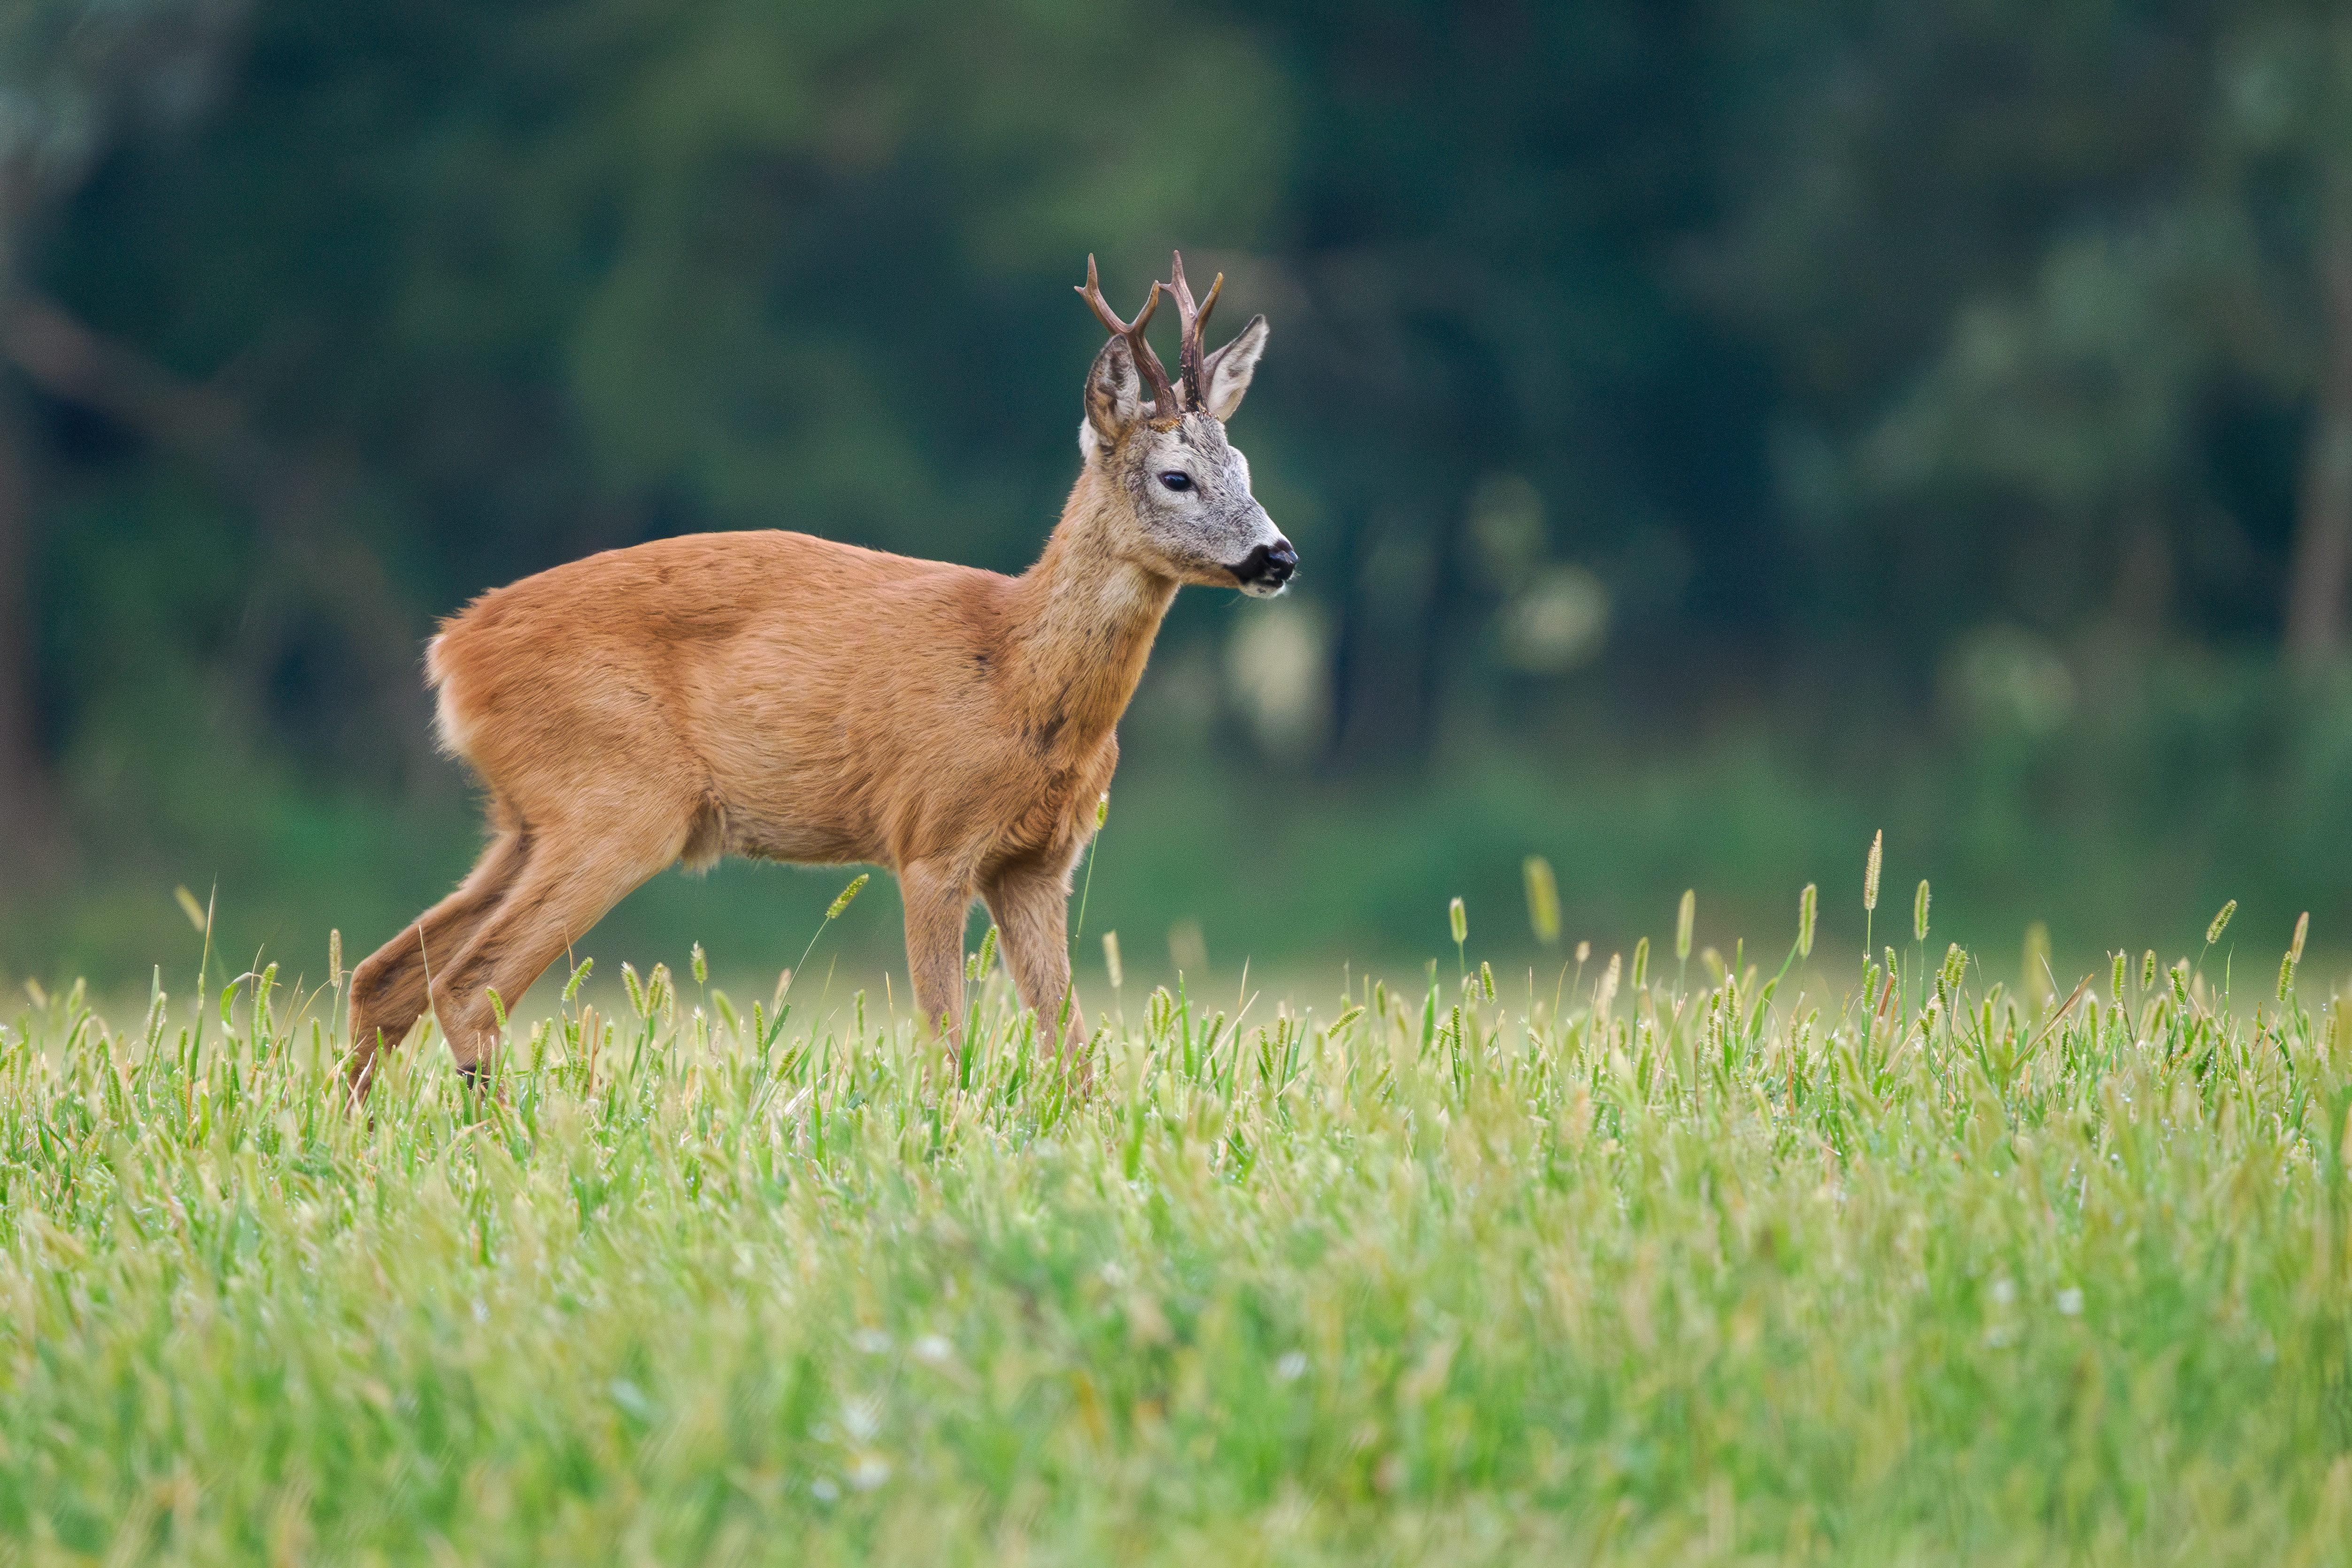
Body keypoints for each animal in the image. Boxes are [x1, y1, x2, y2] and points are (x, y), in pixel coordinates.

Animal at [343, 251, 1298, 1100]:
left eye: (1247, 470)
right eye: (1175, 477)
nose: (1278, 556)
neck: (1018, 677)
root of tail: (452, 649)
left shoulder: (1037, 862)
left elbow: (1073, 1049)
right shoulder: (929, 838)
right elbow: (946, 1039)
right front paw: (942, 1137)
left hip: (525, 818)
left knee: (383, 974)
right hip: (614, 799)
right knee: (468, 984)